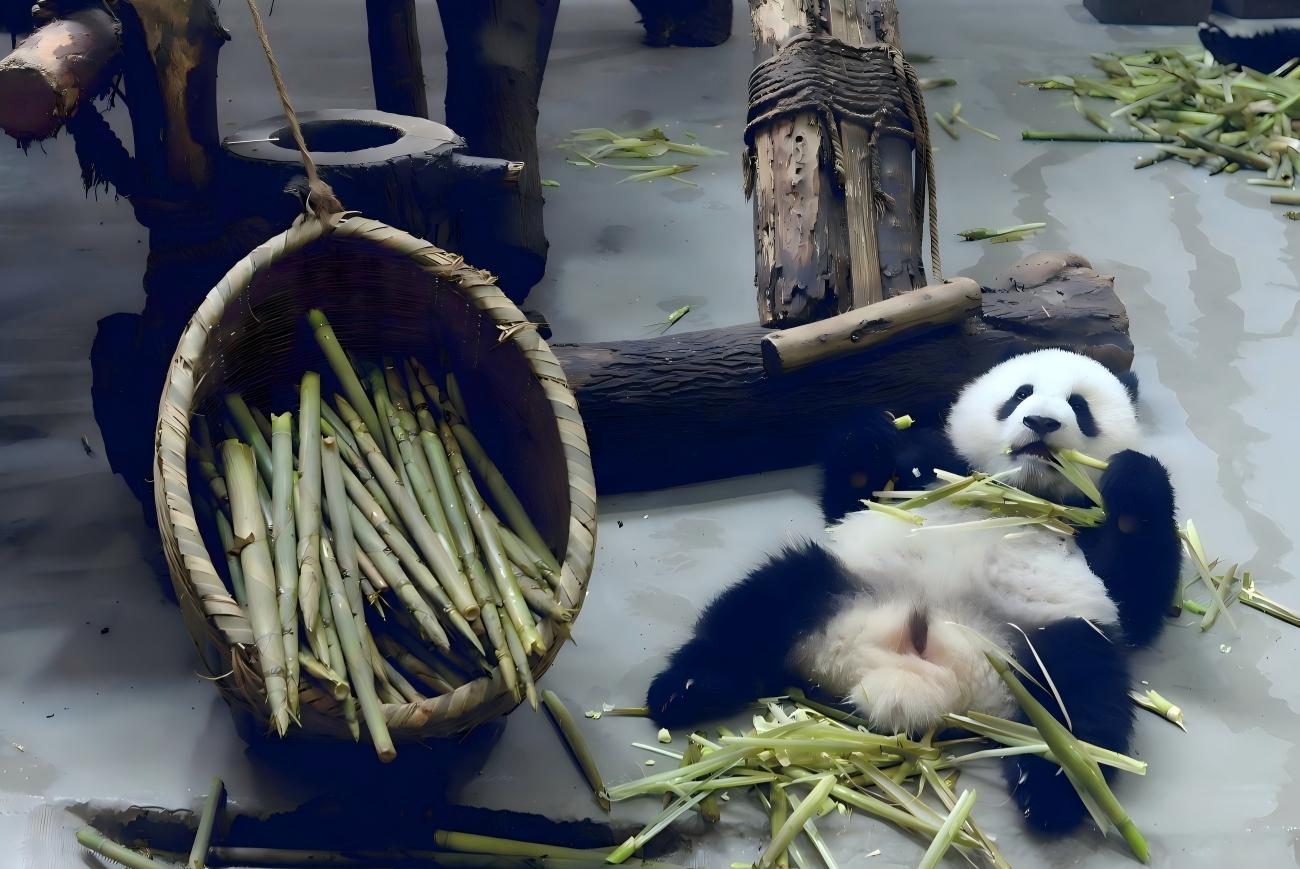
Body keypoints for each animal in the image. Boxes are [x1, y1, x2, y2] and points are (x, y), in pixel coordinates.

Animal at [646, 348, 1182, 833]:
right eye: (1020, 394)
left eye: (1079, 405)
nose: (1041, 422)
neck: (1018, 495)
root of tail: (922, 679)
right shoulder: (924, 478)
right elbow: (857, 496)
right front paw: (871, 433)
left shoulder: (1083, 535)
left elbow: (1137, 597)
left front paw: (1134, 480)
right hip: (841, 581)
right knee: (764, 603)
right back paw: (684, 689)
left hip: (1046, 639)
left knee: (1083, 699)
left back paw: (1052, 793)